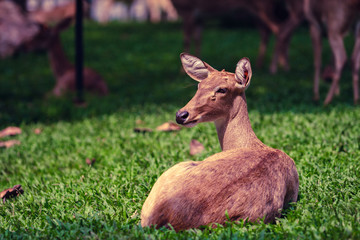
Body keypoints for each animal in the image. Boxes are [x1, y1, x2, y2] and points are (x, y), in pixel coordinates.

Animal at [141, 53, 298, 231]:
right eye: (199, 85)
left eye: (222, 89)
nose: (181, 115)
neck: (248, 143)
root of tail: (163, 217)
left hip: (172, 170)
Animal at [171, 0, 304, 73]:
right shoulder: (199, 18)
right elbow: (198, 40)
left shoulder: (187, 11)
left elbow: (186, 40)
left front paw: (182, 71)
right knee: (271, 30)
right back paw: (276, 65)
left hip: (263, 7)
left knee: (279, 28)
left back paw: (275, 68)